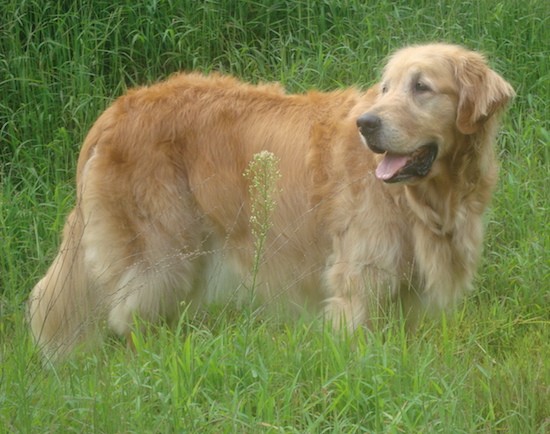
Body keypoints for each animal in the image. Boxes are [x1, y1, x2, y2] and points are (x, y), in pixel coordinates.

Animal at [28, 44, 516, 362]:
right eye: (386, 88)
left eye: (422, 87)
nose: (366, 124)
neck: (424, 198)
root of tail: (118, 108)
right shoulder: (359, 280)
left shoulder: (407, 293)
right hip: (162, 254)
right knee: (127, 315)